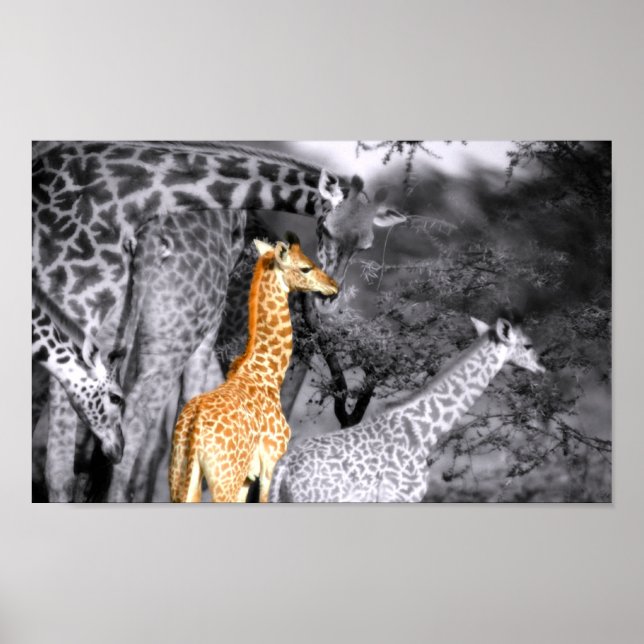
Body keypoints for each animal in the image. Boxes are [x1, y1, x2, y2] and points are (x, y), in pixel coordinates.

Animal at [169, 233, 338, 503]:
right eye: (305, 267)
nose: (333, 285)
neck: (267, 373)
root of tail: (193, 428)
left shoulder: (247, 478)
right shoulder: (270, 463)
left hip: (181, 477)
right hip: (223, 480)